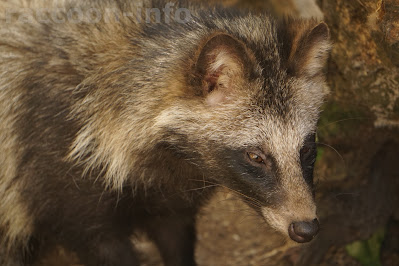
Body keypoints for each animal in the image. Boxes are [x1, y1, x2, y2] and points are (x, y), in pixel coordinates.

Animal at [0, 0, 332, 264]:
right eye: (255, 156)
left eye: (306, 149)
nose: (306, 228)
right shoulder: (58, 172)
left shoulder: (172, 200)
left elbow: (177, 240)